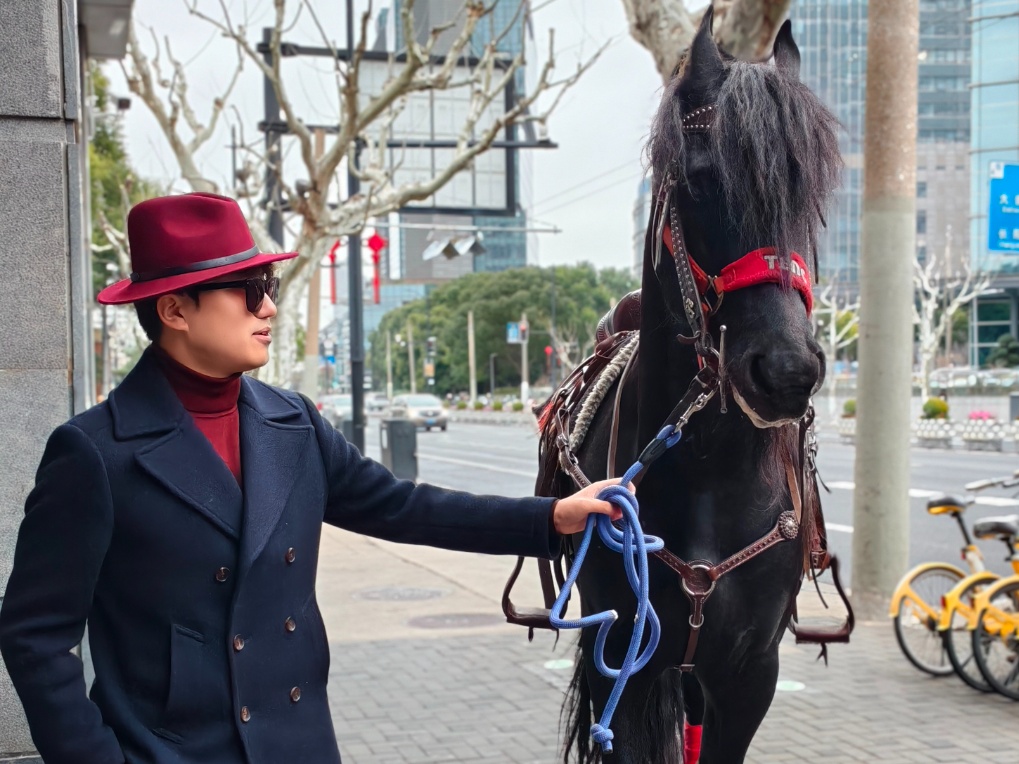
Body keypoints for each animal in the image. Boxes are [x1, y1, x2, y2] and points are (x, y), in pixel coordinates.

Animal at [531, 11, 844, 764]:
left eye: (813, 193)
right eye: (701, 180)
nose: (786, 371)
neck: (708, 469)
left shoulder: (749, 671)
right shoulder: (621, 655)